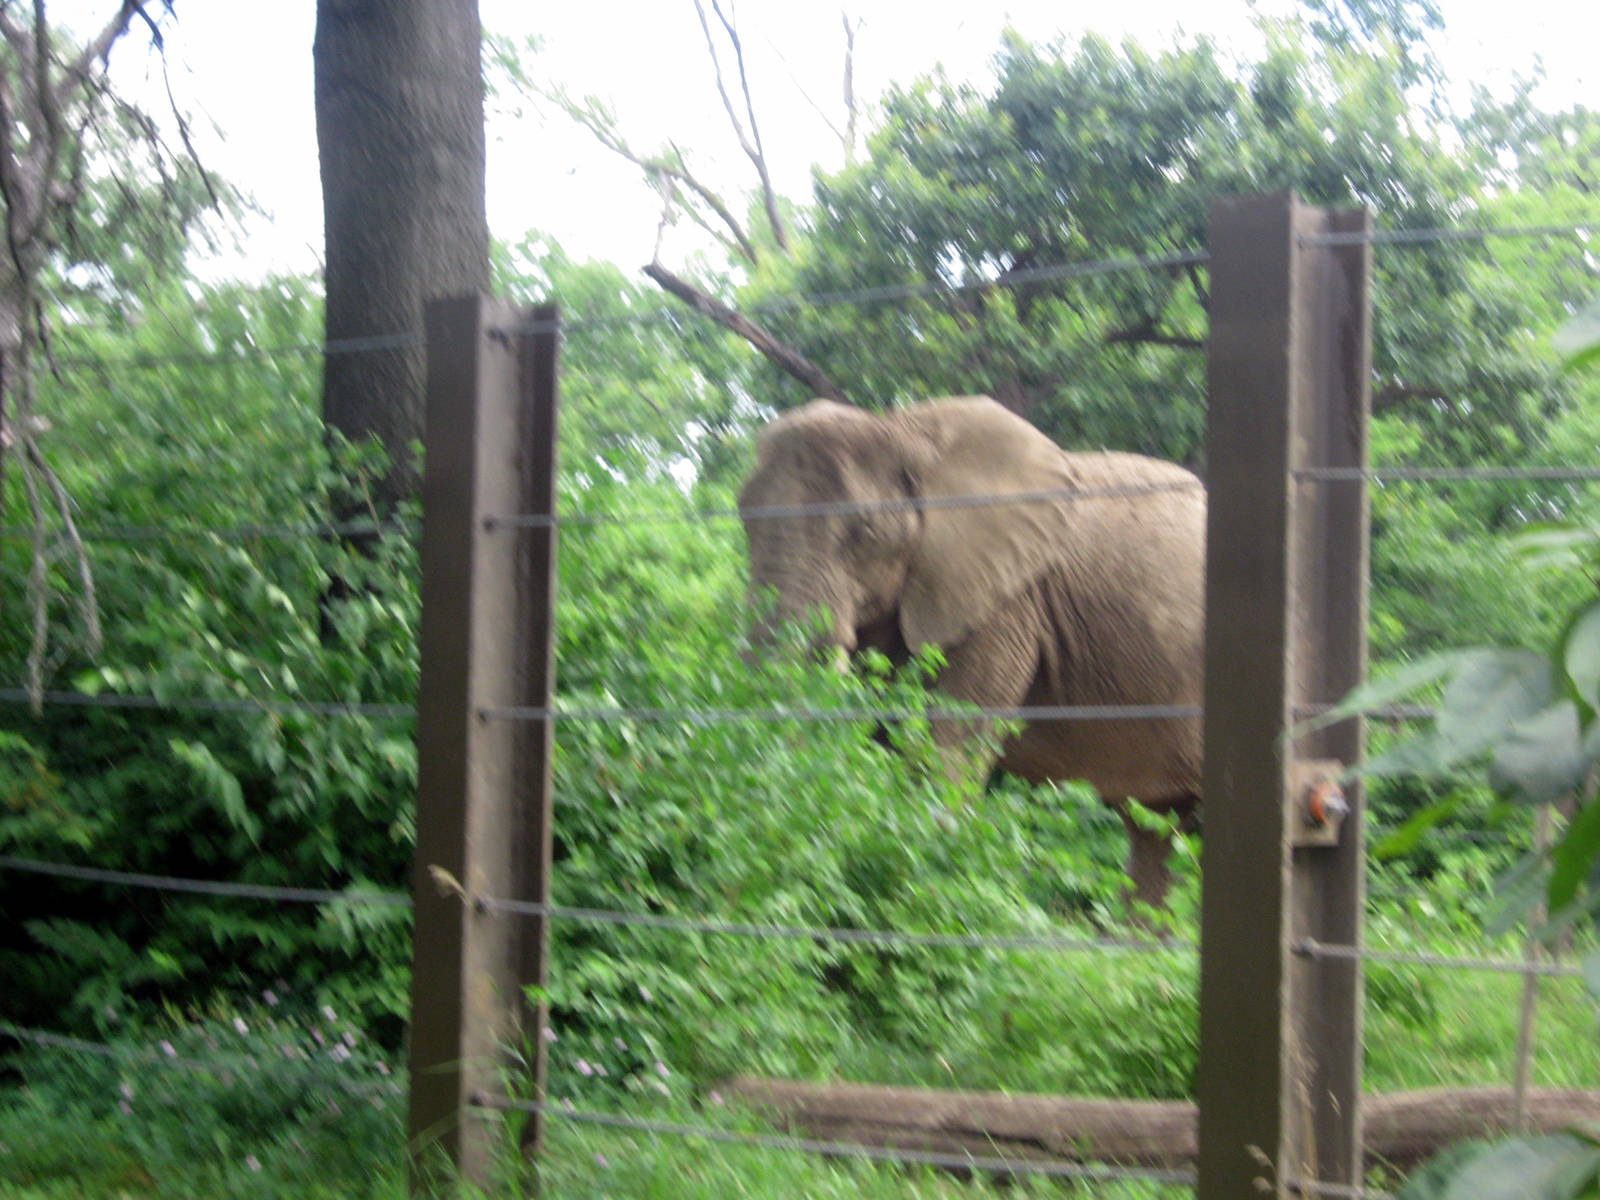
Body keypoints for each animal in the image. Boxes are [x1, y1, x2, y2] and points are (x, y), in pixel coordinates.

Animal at [738, 396, 1206, 910]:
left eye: (865, 533)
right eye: (742, 517)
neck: (902, 431)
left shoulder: (1007, 604)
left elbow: (949, 743)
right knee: (1157, 831)